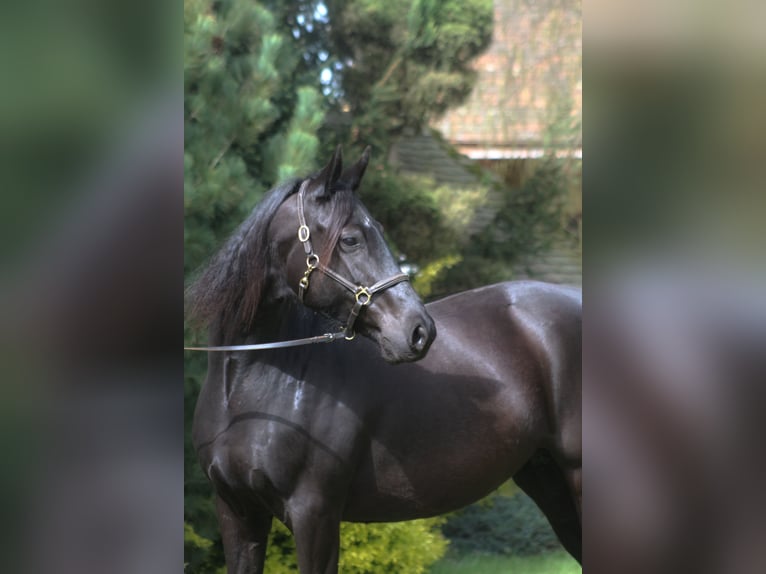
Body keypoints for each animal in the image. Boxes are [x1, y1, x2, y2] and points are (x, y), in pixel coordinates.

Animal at [186, 146, 582, 573]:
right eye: (351, 239)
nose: (419, 330)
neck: (249, 385)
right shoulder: (238, 514)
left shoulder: (315, 514)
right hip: (549, 482)